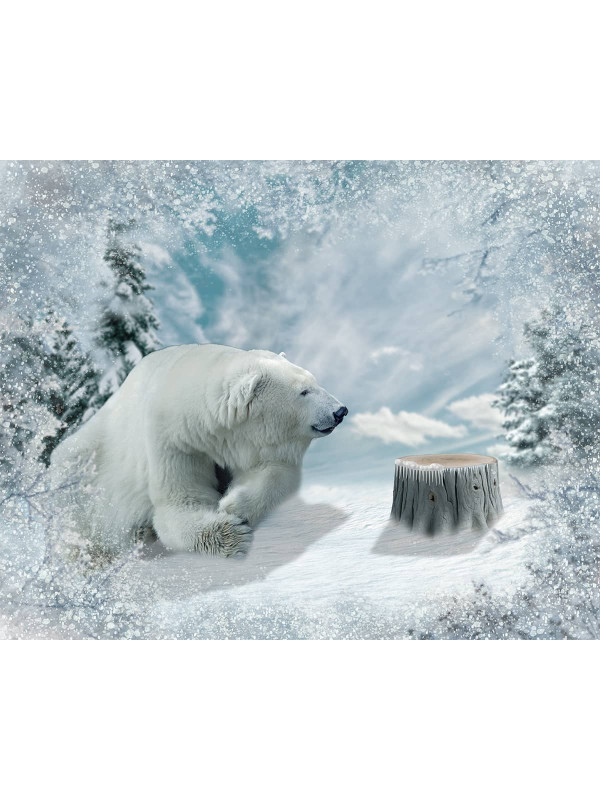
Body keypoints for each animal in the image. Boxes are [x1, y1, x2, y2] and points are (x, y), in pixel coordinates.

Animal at [51, 344, 348, 558]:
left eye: (314, 381)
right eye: (304, 392)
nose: (340, 411)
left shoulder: (252, 443)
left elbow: (274, 472)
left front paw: (233, 505)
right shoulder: (173, 440)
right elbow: (179, 503)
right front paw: (232, 534)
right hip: (82, 477)